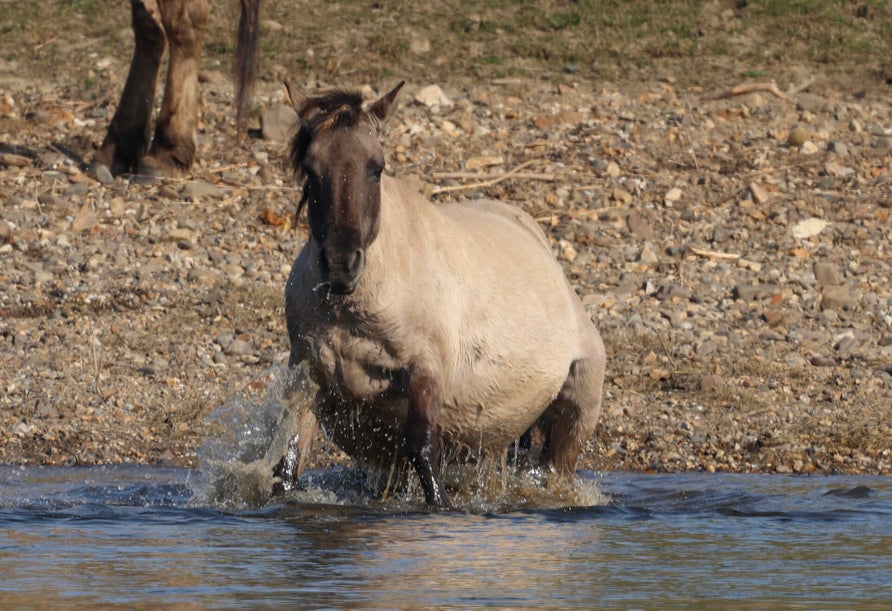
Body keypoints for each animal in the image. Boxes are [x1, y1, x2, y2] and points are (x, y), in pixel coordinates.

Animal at [279, 81, 606, 508]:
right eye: (311, 168)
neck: (354, 311)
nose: (340, 264)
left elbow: (422, 447)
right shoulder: (309, 375)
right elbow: (287, 459)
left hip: (575, 415)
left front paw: (442, 508)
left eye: (376, 167)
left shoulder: (426, 370)